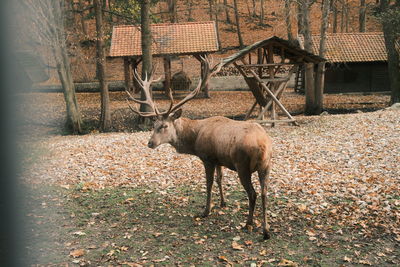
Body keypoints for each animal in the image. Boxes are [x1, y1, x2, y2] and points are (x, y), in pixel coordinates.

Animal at [126, 57, 274, 241]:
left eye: (164, 126)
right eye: (153, 125)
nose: (150, 143)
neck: (195, 140)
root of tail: (263, 146)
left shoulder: (207, 157)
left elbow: (209, 183)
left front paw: (206, 210)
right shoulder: (219, 159)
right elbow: (219, 179)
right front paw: (223, 203)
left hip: (242, 165)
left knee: (253, 193)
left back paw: (248, 224)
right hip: (266, 165)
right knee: (265, 192)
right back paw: (266, 230)